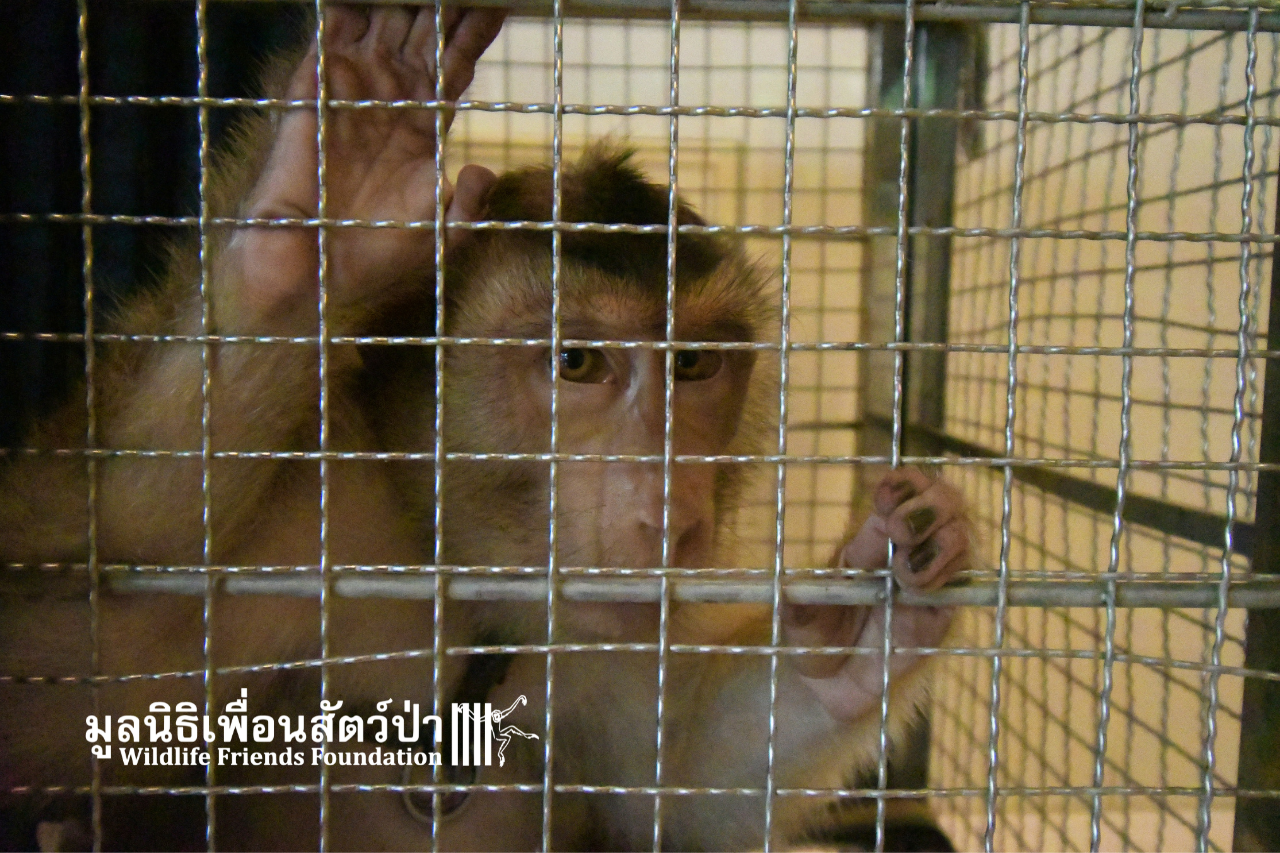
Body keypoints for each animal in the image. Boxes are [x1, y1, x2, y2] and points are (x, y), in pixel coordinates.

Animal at [0, 4, 968, 850]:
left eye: (694, 364)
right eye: (577, 363)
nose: (671, 516)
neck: (451, 562)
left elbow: (670, 790)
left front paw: (857, 631)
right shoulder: (285, 542)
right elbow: (57, 642)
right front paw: (312, 237)